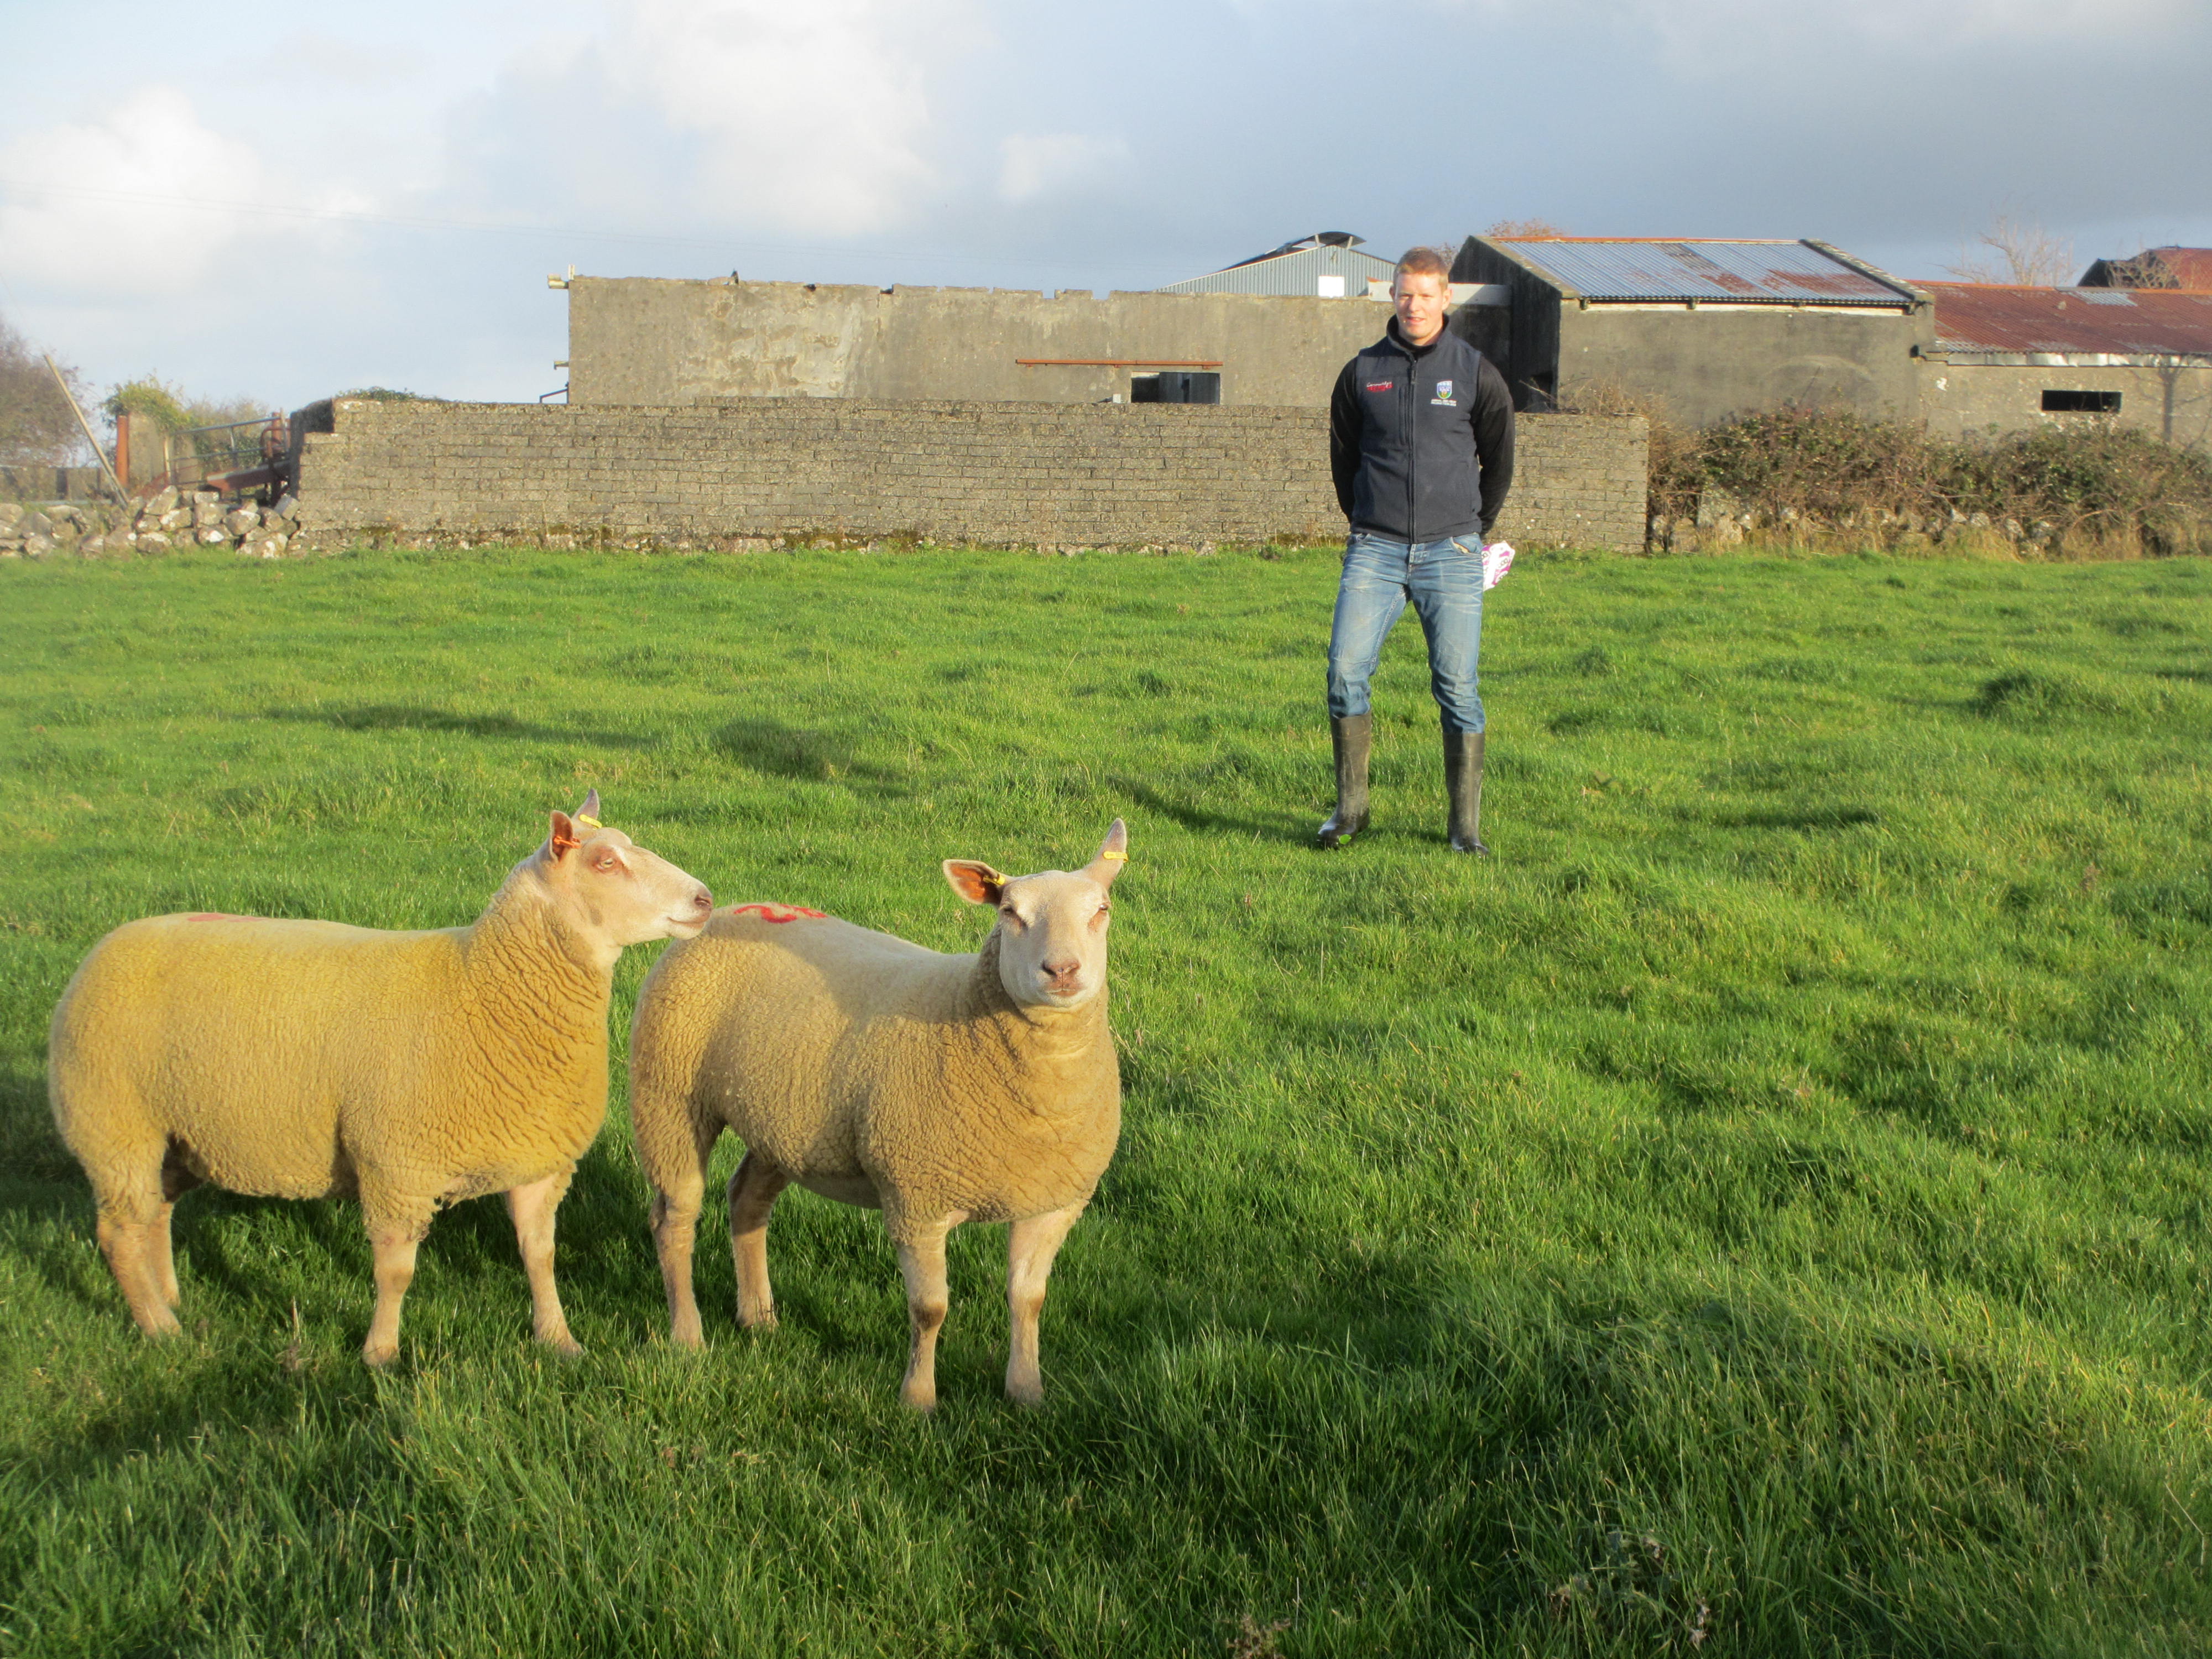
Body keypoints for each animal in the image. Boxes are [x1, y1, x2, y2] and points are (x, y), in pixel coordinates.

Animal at [48, 801, 712, 1371]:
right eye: (605, 862)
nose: (704, 899)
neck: (482, 989)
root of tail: (99, 953)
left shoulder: (537, 1159)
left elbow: (540, 1256)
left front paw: (558, 1339)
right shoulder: (396, 1164)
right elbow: (395, 1272)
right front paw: (381, 1354)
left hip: (173, 1136)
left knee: (154, 1213)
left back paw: (171, 1299)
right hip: (113, 1124)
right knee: (118, 1234)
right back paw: (161, 1328)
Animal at [633, 818, 1133, 1416]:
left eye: (1101, 909)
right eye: (1010, 913)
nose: (1062, 970)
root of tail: (725, 911)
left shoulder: (1053, 1202)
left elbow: (1029, 1299)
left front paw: (1027, 1392)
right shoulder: (916, 1197)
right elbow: (930, 1309)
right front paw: (918, 1400)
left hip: (785, 1120)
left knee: (747, 1198)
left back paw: (758, 1317)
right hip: (668, 1094)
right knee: (674, 1218)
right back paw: (688, 1335)